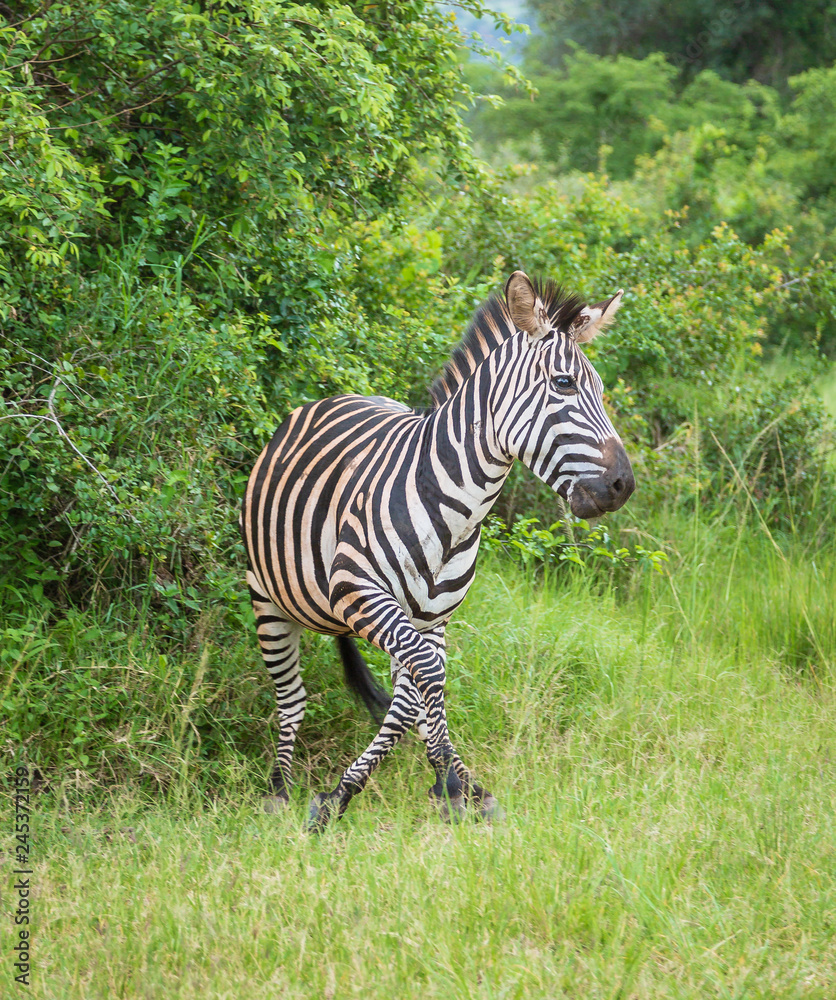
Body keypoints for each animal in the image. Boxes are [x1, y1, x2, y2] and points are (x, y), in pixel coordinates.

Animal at [241, 270, 634, 831]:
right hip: (267, 596)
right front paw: (449, 785)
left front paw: (446, 785)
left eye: (599, 389)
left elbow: (419, 697)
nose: (623, 485)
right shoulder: (357, 590)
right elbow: (426, 681)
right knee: (292, 698)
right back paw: (278, 788)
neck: (455, 510)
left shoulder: (433, 619)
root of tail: (329, 398)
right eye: (564, 384)